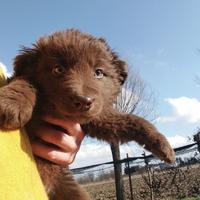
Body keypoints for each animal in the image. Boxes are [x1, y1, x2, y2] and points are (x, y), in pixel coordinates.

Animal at [0, 29, 174, 200]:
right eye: (58, 69)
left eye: (98, 72)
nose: (84, 101)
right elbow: (26, 81)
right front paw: (10, 103)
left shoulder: (96, 117)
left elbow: (128, 120)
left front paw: (162, 145)